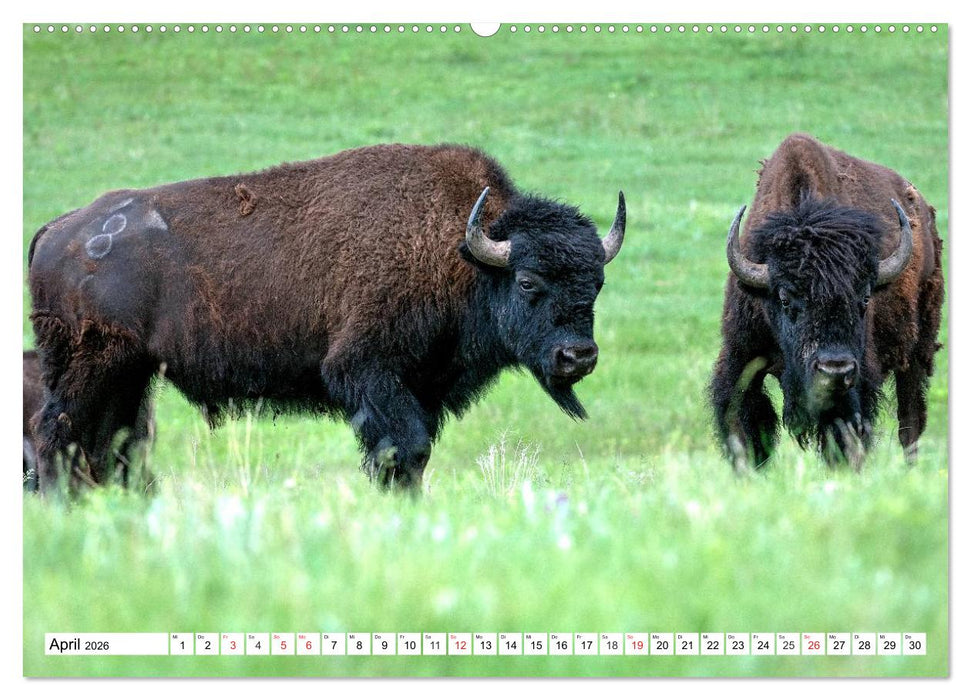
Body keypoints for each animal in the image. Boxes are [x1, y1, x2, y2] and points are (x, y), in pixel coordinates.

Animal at [29, 144, 625, 491]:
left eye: (596, 283)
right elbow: (403, 450)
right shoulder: (367, 372)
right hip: (89, 367)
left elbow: (412, 453)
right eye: (527, 281)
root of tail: (60, 228)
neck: (461, 251)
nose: (578, 356)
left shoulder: (423, 385)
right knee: (56, 436)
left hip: (127, 374)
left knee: (106, 446)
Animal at [711, 133, 943, 469]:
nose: (834, 370)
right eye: (784, 298)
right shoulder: (740, 360)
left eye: (864, 298)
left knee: (910, 422)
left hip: (917, 352)